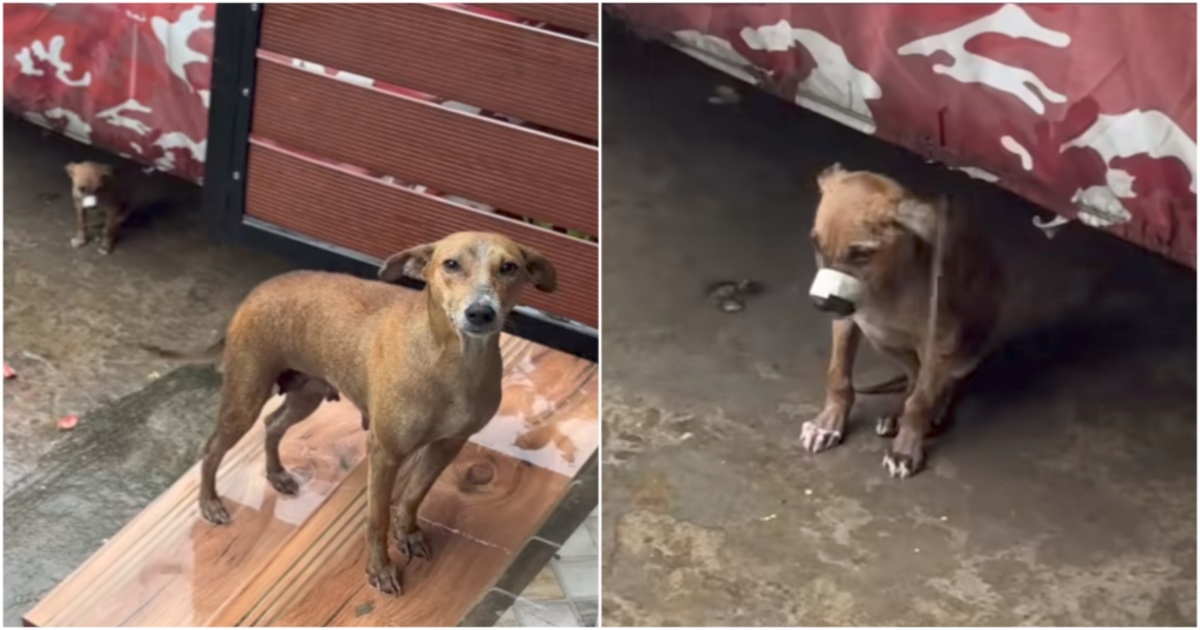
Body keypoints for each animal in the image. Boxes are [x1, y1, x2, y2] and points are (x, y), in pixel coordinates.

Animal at [147, 231, 554, 595]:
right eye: (451, 264)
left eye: (509, 267)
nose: (481, 312)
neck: (454, 363)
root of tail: (256, 291)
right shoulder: (385, 452)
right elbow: (377, 517)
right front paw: (380, 570)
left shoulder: (448, 444)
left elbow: (413, 496)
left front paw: (408, 533)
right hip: (245, 397)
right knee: (212, 447)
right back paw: (210, 502)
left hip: (305, 394)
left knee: (272, 424)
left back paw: (276, 474)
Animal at [801, 162, 1099, 477]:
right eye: (816, 244)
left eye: (861, 253)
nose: (820, 303)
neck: (885, 286)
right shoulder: (848, 319)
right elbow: (838, 375)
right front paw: (827, 423)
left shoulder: (938, 338)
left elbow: (920, 402)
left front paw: (905, 448)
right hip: (882, 338)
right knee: (913, 377)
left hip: (960, 352)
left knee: (940, 385)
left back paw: (931, 414)